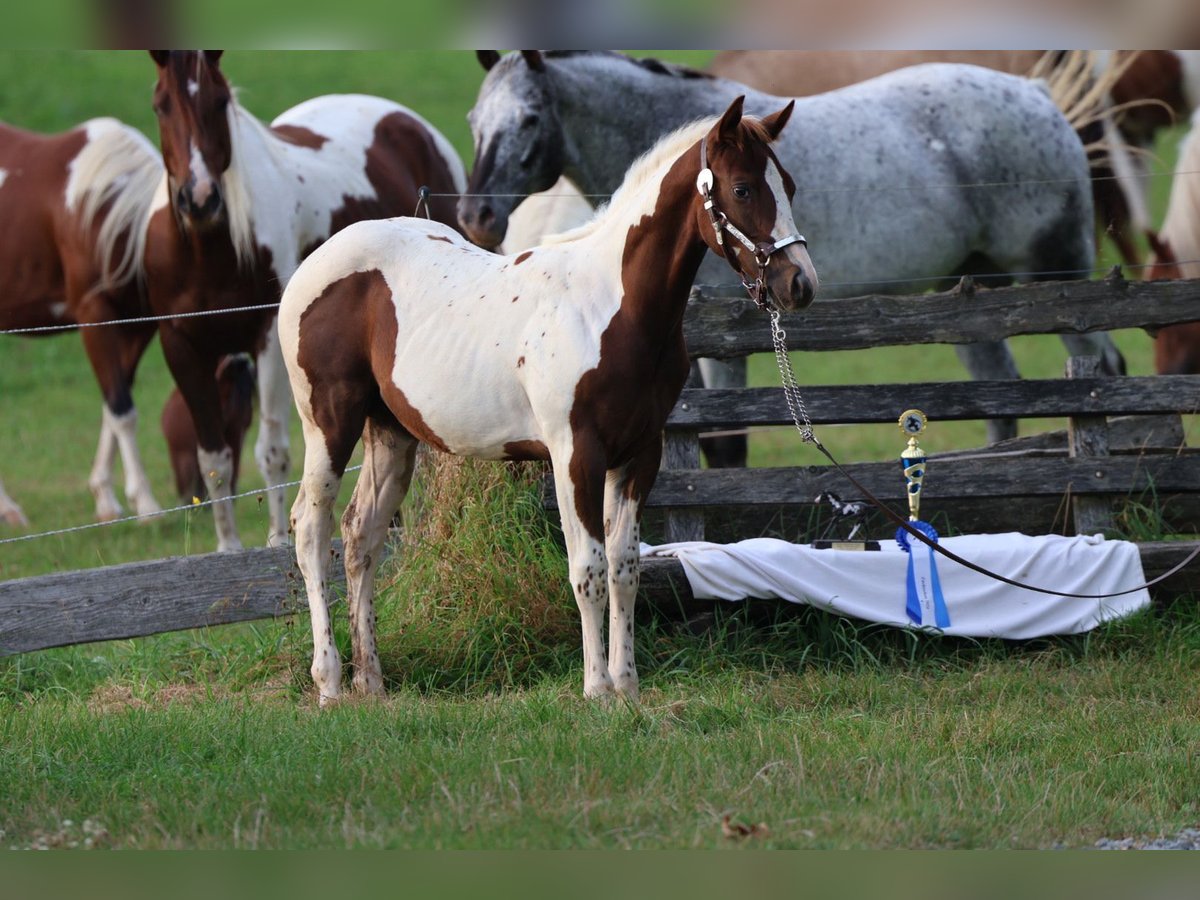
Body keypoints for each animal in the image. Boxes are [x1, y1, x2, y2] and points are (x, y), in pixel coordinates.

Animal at [0, 117, 163, 532]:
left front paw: (105, 498)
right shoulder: (95, 317)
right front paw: (146, 504)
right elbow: (122, 410)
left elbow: (114, 403)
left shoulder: (137, 326)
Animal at [142, 52, 465, 554]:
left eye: (219, 102)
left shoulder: (265, 341)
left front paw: (276, 538)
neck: (207, 248)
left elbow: (271, 451)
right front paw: (228, 546)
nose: (200, 198)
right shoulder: (181, 347)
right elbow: (214, 456)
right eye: (161, 105)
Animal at [280, 97, 816, 705]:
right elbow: (587, 571)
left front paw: (628, 686)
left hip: (390, 434)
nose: (800, 284)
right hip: (329, 425)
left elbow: (625, 569)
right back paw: (329, 681)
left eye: (789, 185)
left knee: (360, 535)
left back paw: (370, 680)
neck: (613, 307)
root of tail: (311, 266)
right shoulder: (574, 454)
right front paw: (597, 689)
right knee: (311, 529)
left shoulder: (640, 454)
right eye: (743, 188)